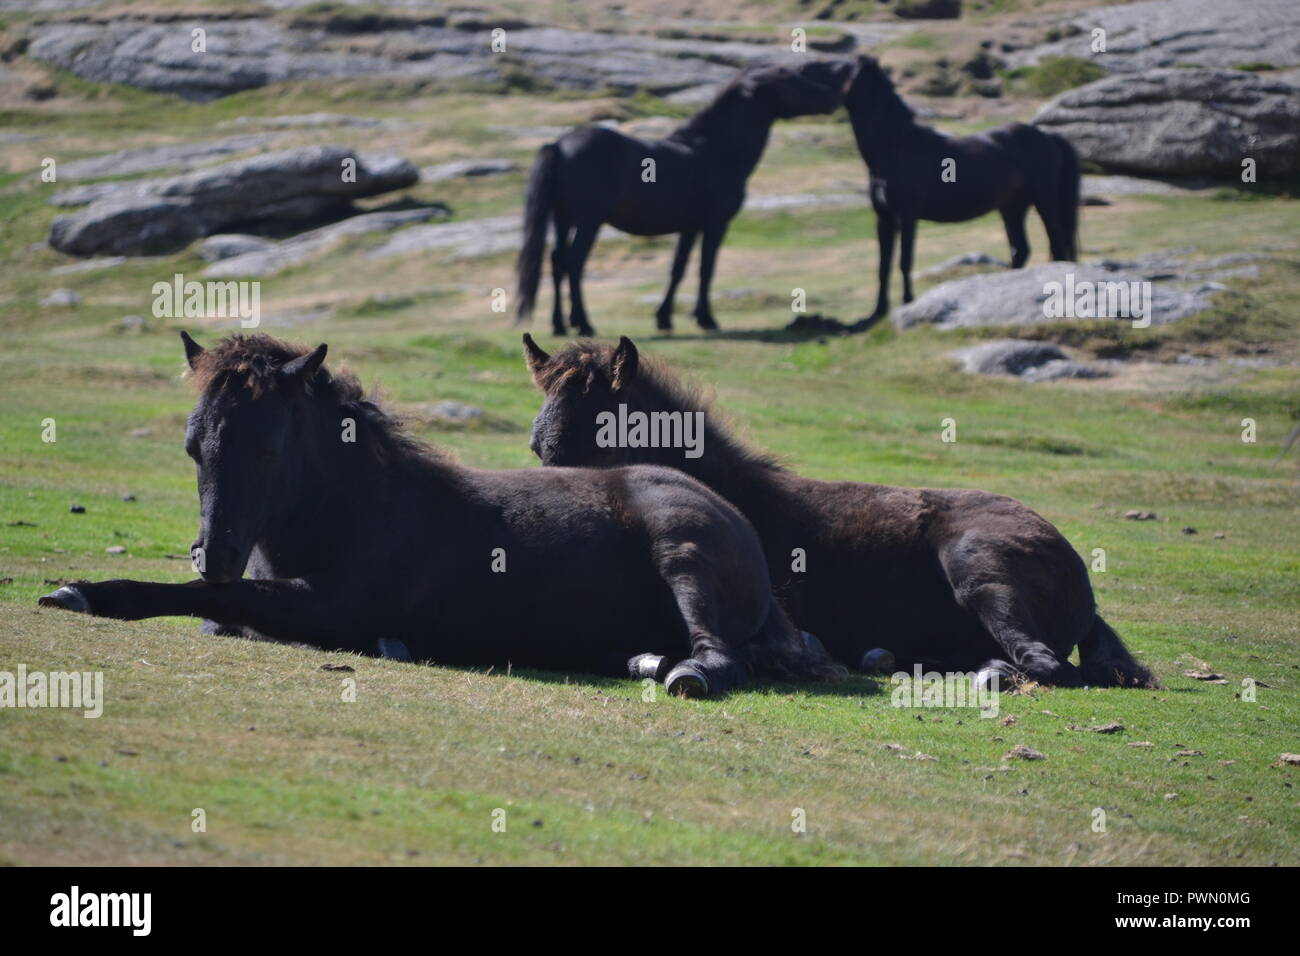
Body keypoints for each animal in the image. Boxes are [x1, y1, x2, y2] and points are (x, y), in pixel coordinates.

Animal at [38, 332, 842, 697]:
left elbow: (207, 599)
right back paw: (644, 659)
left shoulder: (328, 607)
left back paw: (683, 672)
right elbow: (215, 608)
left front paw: (81, 592)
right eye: (192, 446)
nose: (217, 551)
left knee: (718, 654)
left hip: (684, 552)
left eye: (266, 447)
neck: (357, 506)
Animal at [512, 58, 857, 335]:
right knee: (574, 263)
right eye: (792, 79)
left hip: (563, 219)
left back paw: (559, 325)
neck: (714, 150)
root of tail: (560, 144)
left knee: (557, 263)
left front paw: (664, 319)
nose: (834, 97)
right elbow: (706, 269)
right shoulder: (716, 224)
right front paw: (707, 319)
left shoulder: (689, 227)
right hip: (588, 221)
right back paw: (583, 323)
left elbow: (677, 270)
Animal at [837, 57, 1081, 332]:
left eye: (845, 73)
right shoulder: (884, 218)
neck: (896, 148)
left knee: (1057, 246)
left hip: (1045, 203)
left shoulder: (907, 215)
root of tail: (1048, 136)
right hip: (1012, 208)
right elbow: (883, 266)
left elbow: (904, 261)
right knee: (1021, 249)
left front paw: (907, 302)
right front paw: (877, 312)